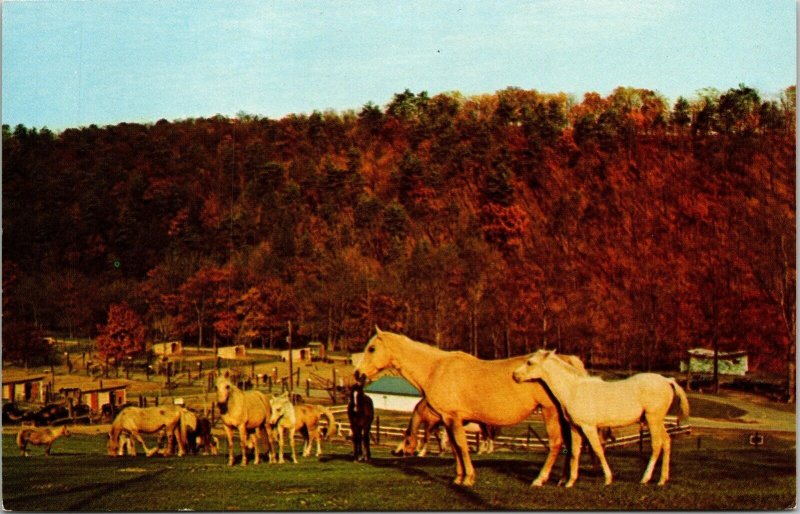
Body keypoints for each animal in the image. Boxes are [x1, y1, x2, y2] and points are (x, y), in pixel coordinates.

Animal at [356, 326, 588, 486]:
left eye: (372, 348)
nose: (358, 374)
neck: (435, 369)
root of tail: (566, 360)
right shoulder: (449, 420)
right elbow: (455, 447)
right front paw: (458, 478)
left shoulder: (451, 418)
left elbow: (461, 446)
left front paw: (468, 478)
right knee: (571, 444)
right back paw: (564, 480)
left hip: (550, 412)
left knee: (557, 443)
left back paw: (540, 479)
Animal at [516, 348, 692, 484]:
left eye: (530, 362)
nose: (515, 376)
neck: (574, 389)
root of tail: (667, 380)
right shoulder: (575, 427)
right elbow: (575, 452)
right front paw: (570, 482)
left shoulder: (589, 427)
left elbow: (597, 449)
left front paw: (608, 479)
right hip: (658, 420)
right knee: (667, 442)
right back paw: (662, 479)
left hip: (652, 419)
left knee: (657, 445)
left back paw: (645, 479)